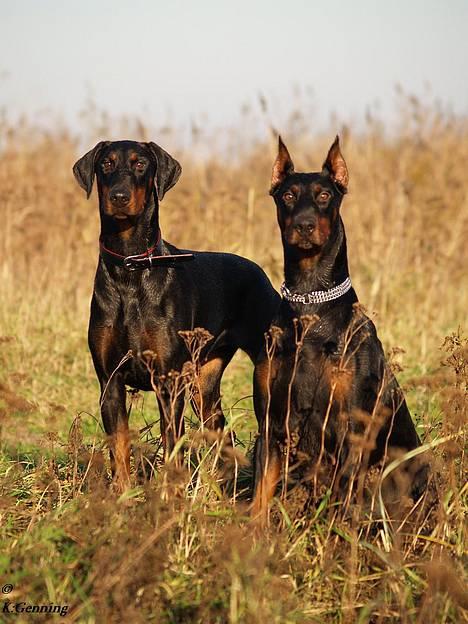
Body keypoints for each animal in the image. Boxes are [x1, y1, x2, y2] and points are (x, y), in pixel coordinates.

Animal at [71, 140, 280, 488]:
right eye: (106, 164)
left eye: (140, 164)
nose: (119, 196)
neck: (130, 265)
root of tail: (261, 273)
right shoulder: (110, 381)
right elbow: (119, 448)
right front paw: (121, 493)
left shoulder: (168, 383)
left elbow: (172, 448)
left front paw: (171, 495)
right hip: (202, 384)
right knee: (221, 431)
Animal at [252, 138, 428, 528]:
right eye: (288, 196)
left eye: (323, 195)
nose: (304, 226)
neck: (309, 302)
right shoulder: (271, 422)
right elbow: (260, 494)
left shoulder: (352, 428)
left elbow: (342, 499)